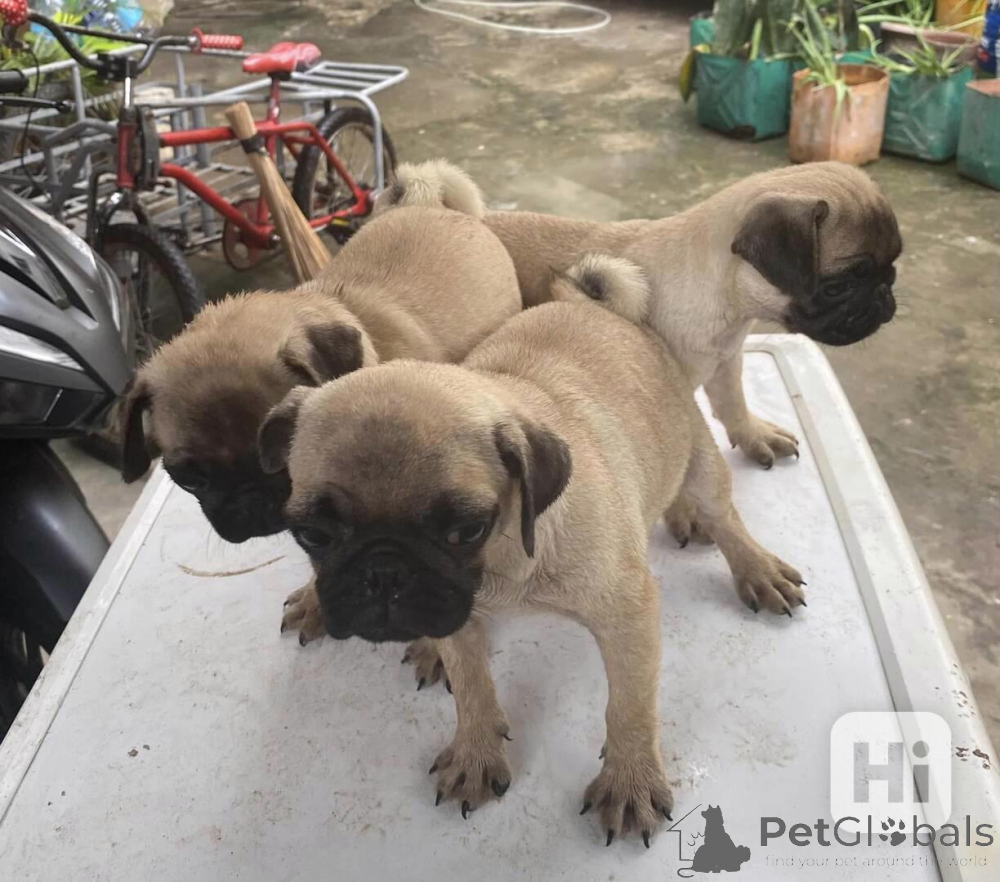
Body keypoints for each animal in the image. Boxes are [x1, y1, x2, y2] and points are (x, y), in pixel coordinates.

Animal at [259, 299, 806, 845]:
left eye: (466, 530)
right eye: (311, 535)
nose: (383, 572)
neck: (502, 566)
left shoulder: (627, 617)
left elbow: (629, 704)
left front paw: (629, 781)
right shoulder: (456, 614)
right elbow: (473, 686)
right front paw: (477, 752)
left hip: (696, 459)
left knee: (723, 515)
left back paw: (756, 568)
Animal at [386, 160, 902, 475]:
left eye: (892, 266)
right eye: (839, 285)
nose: (885, 297)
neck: (725, 297)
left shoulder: (726, 361)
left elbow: (733, 405)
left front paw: (752, 435)